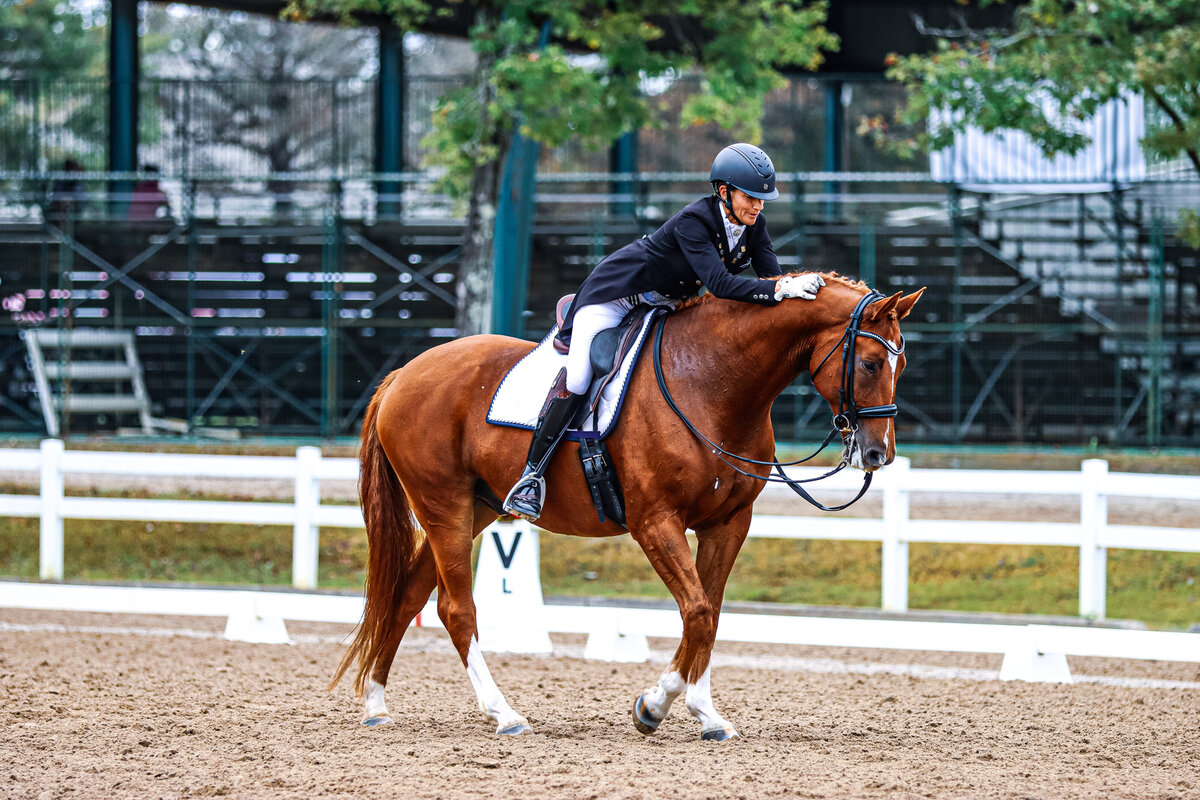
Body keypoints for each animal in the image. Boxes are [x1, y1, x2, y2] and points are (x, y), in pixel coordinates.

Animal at [330, 273, 924, 740]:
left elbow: (708, 615)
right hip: (444, 505)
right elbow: (698, 611)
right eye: (871, 364)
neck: (710, 379)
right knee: (456, 610)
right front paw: (653, 706)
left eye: (902, 366)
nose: (878, 454)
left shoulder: (727, 523)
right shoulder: (655, 523)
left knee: (407, 595)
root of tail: (403, 374)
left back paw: (377, 704)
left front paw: (704, 714)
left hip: (473, 508)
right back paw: (504, 714)